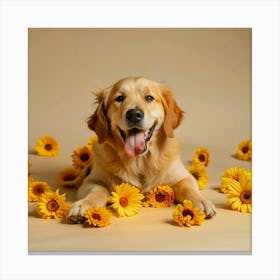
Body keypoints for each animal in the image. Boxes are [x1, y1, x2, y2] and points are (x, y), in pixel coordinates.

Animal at [68, 77, 217, 222]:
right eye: (119, 98)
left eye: (149, 97)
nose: (134, 114)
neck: (139, 161)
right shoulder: (91, 181)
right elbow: (98, 189)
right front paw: (84, 205)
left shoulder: (185, 177)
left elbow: (186, 188)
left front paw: (200, 203)